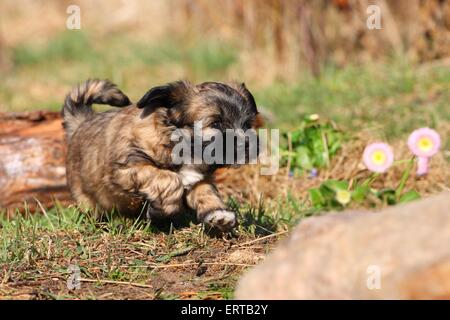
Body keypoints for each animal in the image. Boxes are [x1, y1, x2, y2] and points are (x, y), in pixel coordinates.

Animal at [63, 79, 260, 230]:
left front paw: (218, 214)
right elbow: (170, 180)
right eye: (216, 124)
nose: (250, 144)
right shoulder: (126, 167)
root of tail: (82, 122)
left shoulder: (199, 179)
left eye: (247, 124)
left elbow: (206, 192)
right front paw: (160, 209)